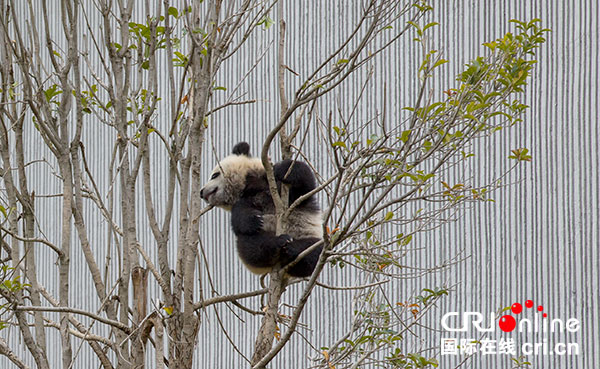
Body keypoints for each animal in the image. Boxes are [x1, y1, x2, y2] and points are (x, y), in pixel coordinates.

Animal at [200, 141, 324, 276]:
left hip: (312, 236)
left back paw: (294, 249)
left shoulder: (277, 187)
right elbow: (239, 217)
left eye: (214, 175)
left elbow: (305, 186)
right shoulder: (244, 200)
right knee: (252, 246)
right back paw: (277, 243)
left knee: (314, 252)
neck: (250, 185)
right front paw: (255, 220)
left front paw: (283, 168)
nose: (201, 192)